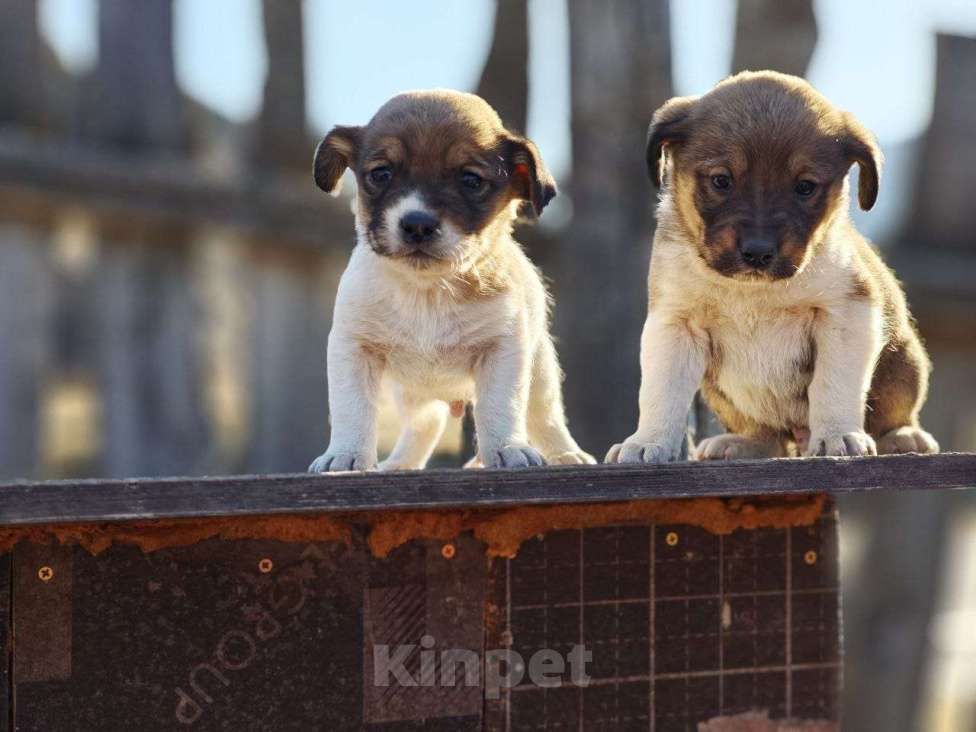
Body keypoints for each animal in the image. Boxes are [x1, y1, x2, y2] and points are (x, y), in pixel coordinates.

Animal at [308, 88, 596, 472]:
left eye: (470, 180)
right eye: (381, 174)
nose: (416, 223)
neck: (428, 291)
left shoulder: (503, 351)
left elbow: (500, 408)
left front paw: (507, 448)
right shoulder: (353, 349)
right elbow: (351, 409)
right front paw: (346, 455)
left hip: (540, 374)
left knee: (544, 418)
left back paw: (565, 454)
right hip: (411, 395)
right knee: (426, 424)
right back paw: (399, 463)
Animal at [608, 73, 936, 464]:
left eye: (805, 187)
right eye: (721, 180)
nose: (758, 252)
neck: (754, 291)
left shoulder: (846, 314)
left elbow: (833, 385)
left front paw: (837, 435)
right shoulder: (675, 324)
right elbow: (661, 392)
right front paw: (649, 441)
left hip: (904, 362)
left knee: (893, 412)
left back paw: (902, 436)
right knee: (768, 436)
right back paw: (742, 444)